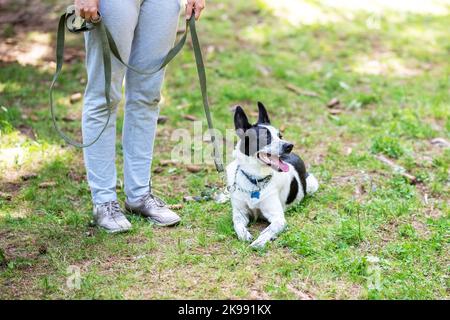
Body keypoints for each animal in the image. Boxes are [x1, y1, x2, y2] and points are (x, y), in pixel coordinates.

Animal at [227, 101, 318, 249]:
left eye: (280, 136)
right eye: (265, 137)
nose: (289, 145)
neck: (255, 179)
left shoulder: (278, 218)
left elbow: (270, 229)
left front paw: (260, 241)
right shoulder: (240, 213)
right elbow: (237, 224)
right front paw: (244, 235)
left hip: (312, 184)